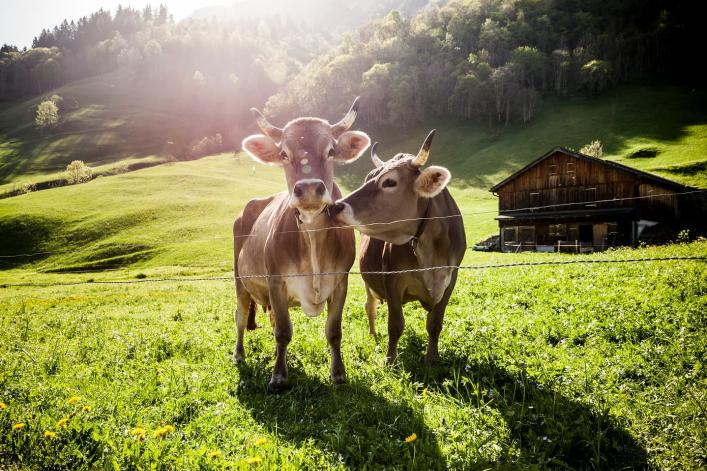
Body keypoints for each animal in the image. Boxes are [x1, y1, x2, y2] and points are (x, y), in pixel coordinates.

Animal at [234, 99, 371, 391]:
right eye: (284, 153)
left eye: (331, 150)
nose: (308, 189)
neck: (312, 237)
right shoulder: (276, 281)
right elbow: (284, 332)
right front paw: (278, 377)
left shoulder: (341, 281)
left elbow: (334, 331)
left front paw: (338, 374)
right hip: (240, 280)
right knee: (240, 316)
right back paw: (238, 354)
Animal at [329, 130, 466, 364]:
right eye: (370, 178)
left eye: (390, 182)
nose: (335, 206)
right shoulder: (391, 279)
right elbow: (395, 325)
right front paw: (390, 360)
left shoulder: (450, 279)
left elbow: (435, 324)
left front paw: (432, 358)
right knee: (370, 306)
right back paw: (373, 336)